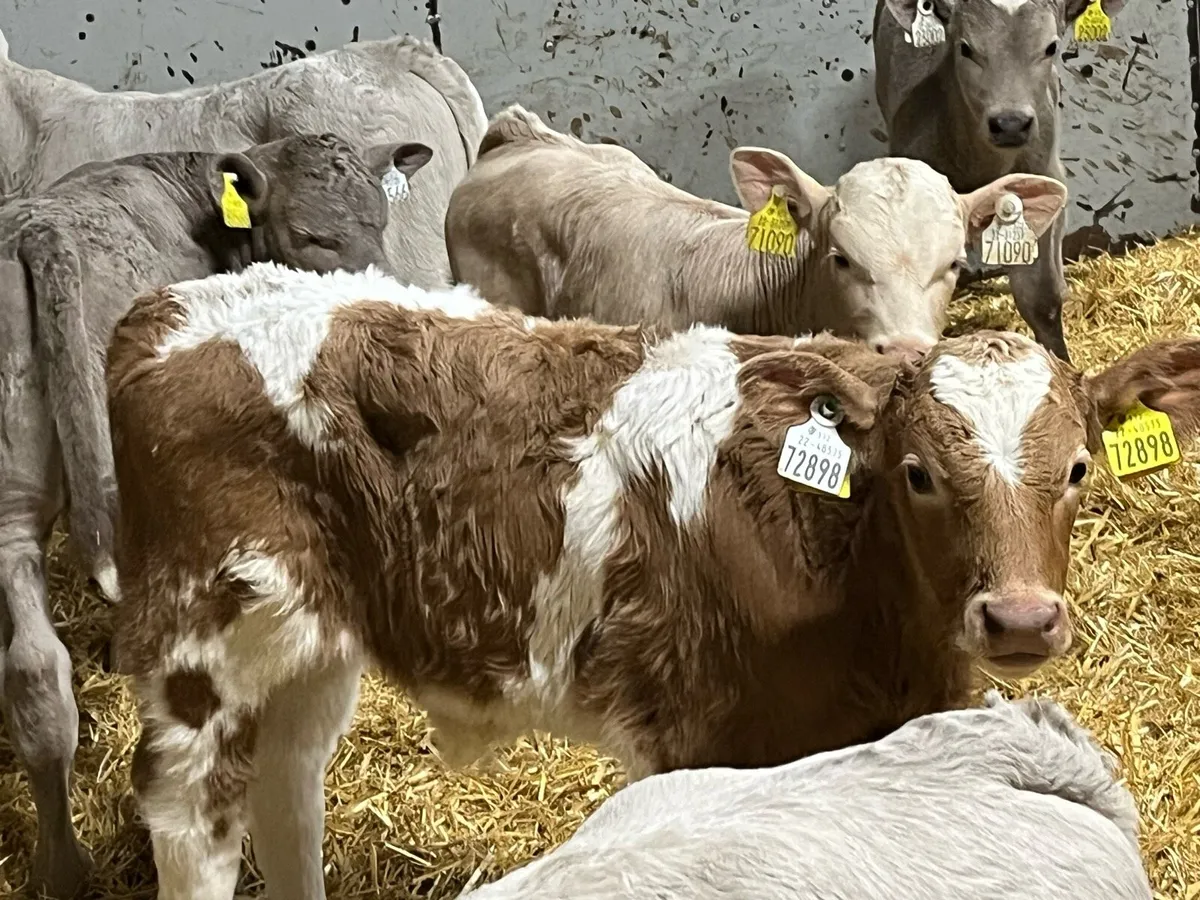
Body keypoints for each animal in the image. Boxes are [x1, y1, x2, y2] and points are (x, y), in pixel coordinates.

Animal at [0, 132, 422, 899]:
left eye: (379, 220)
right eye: (310, 235)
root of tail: (33, 226)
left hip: (8, 504)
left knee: (32, 676)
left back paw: (59, 868)